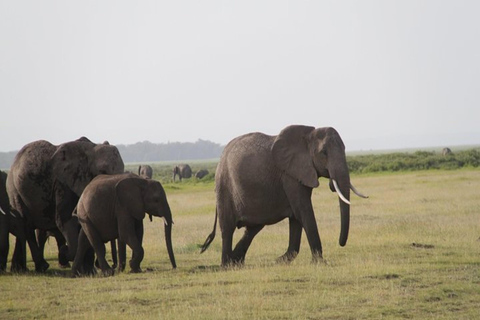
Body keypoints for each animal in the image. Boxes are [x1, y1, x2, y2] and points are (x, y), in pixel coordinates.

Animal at [5, 136, 124, 272]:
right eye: (103, 171)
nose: (115, 267)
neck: (91, 149)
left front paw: (89, 271)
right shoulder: (63, 184)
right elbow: (64, 220)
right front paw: (67, 255)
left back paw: (18, 269)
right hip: (14, 190)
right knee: (26, 226)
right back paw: (41, 267)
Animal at [202, 125, 368, 264]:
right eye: (324, 153)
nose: (340, 243)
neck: (308, 136)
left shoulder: (299, 173)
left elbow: (296, 215)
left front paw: (281, 260)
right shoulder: (289, 175)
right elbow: (303, 210)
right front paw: (320, 262)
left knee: (253, 227)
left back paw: (236, 261)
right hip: (224, 187)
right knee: (227, 229)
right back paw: (227, 264)